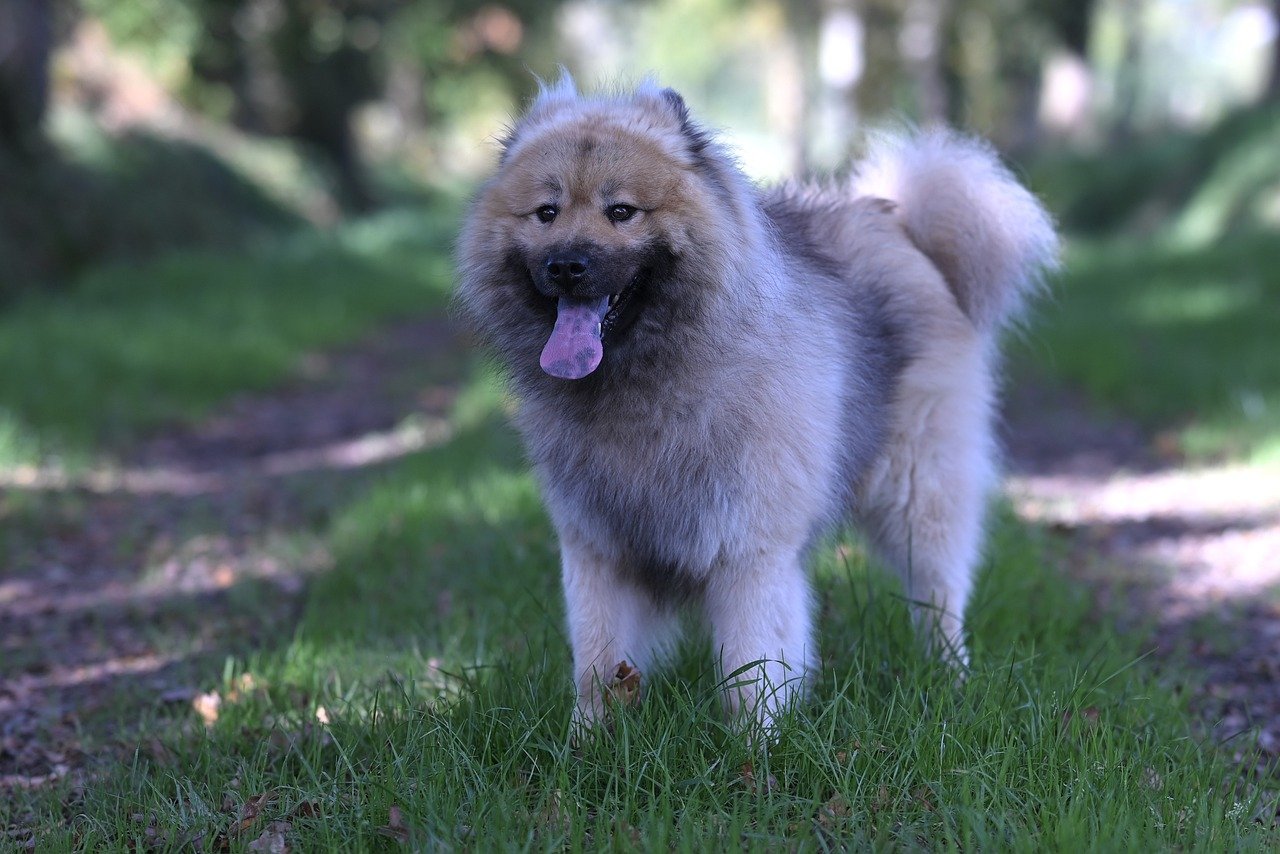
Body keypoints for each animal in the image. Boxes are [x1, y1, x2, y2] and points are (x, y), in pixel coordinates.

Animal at [455, 73, 1054, 732]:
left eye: (621, 212)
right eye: (547, 212)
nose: (566, 265)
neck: (647, 387)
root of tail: (903, 229)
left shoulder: (748, 549)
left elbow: (751, 664)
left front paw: (754, 746)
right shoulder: (597, 548)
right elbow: (596, 660)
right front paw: (589, 741)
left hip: (919, 487)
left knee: (940, 595)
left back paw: (950, 678)